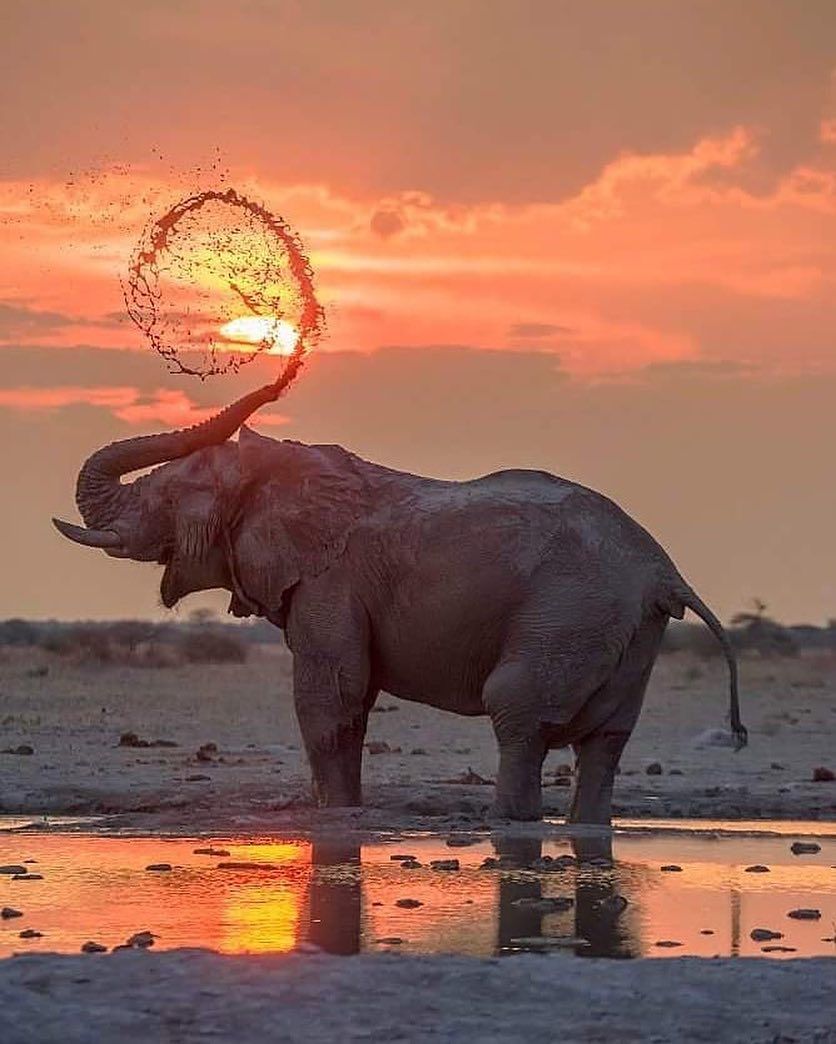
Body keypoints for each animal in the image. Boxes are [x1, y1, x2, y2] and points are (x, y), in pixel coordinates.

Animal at [53, 380, 746, 823]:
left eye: (171, 497)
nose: (278, 373)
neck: (279, 468)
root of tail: (663, 570)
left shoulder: (330, 579)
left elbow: (328, 699)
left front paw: (334, 818)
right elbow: (352, 702)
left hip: (570, 612)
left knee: (519, 716)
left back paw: (507, 827)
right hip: (628, 630)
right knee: (605, 741)